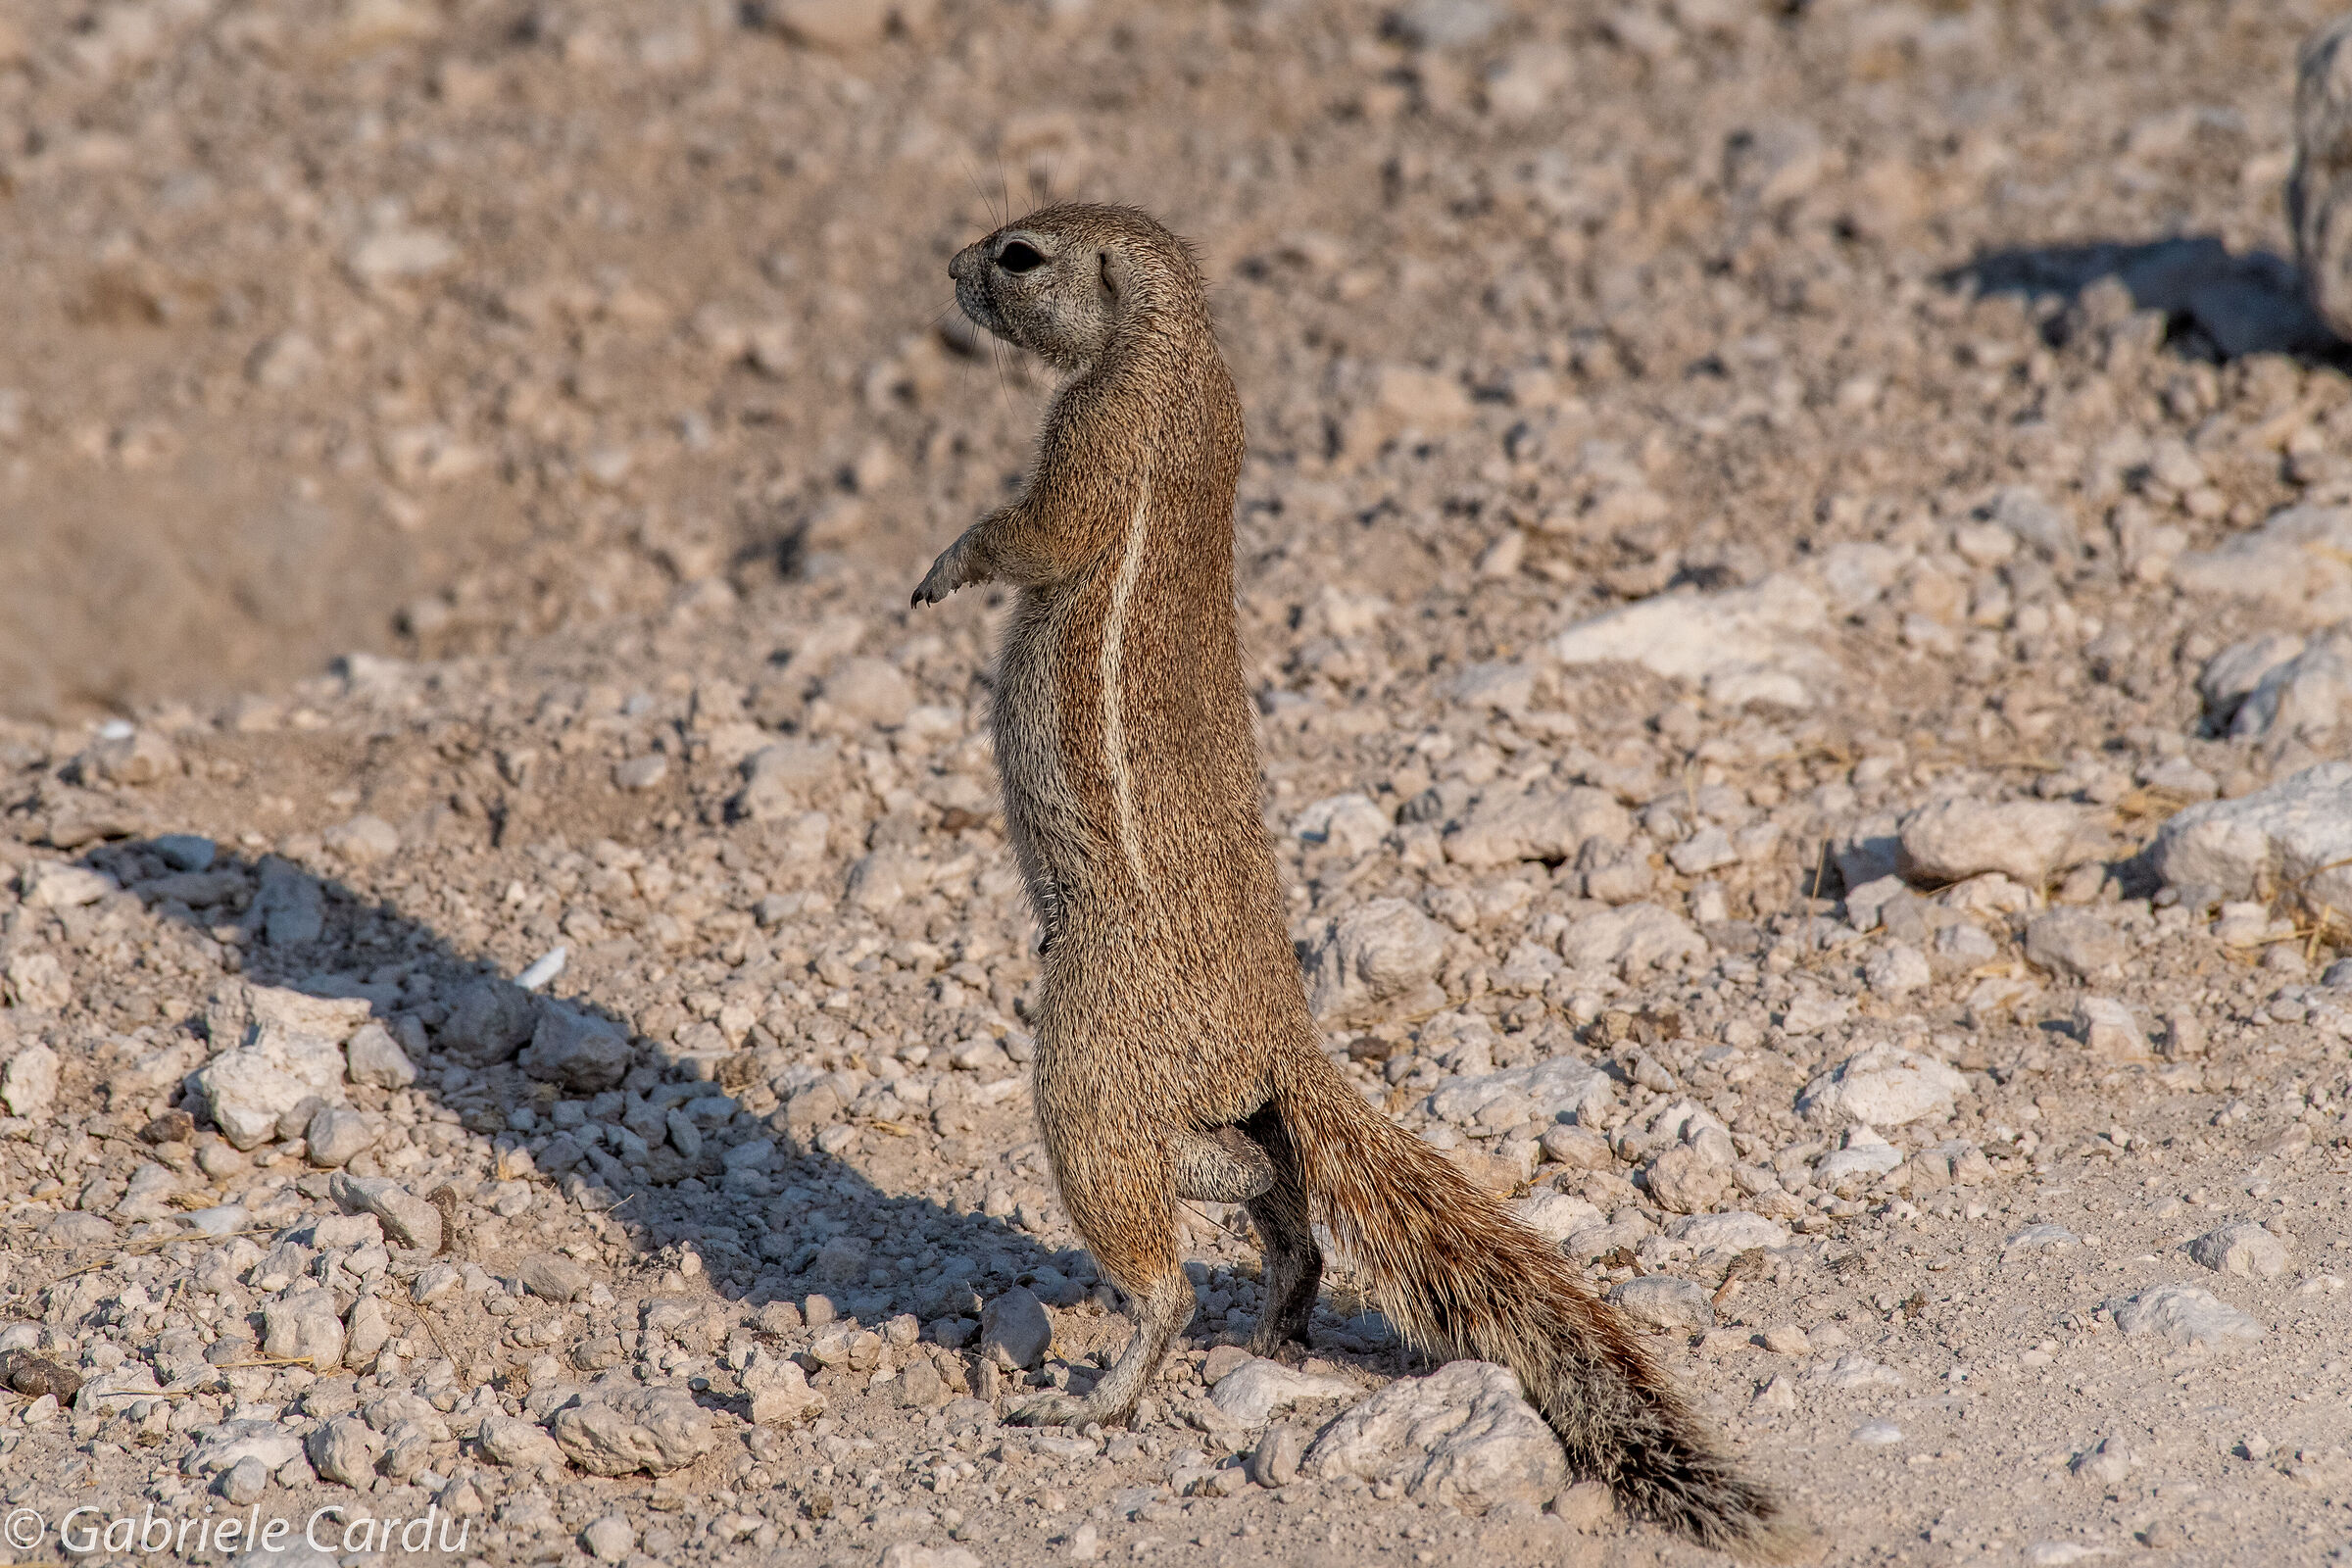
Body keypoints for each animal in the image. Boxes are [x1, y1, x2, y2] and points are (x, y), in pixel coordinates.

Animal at [913, 203, 1800, 1560]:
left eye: (1020, 255)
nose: (952, 268)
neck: (1171, 340)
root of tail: (1282, 1036)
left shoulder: (1091, 440)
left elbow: (1034, 531)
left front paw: (942, 564)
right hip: (1184, 1101)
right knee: (1260, 1177)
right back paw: (1273, 1315)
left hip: (1084, 1066)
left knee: (1164, 1263)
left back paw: (1098, 1399)